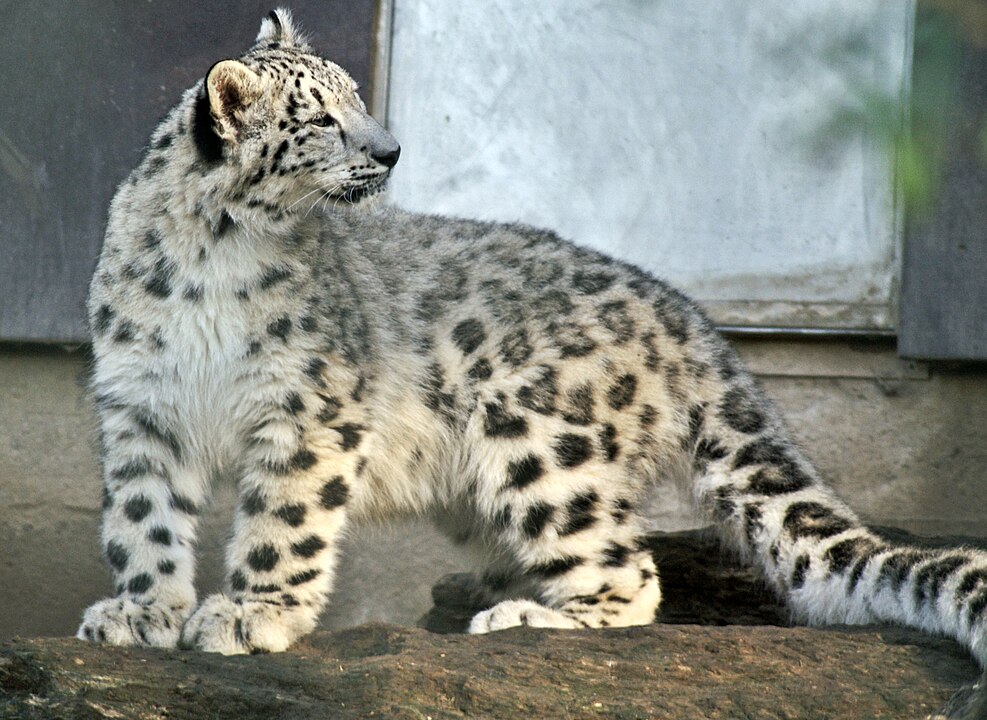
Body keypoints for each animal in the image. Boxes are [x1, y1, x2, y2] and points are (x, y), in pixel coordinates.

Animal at [79, 8, 987, 660]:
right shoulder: (140, 403)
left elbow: (284, 519)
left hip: (539, 439)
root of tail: (685, 314)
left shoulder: (309, 407)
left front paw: (250, 612)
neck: (214, 254)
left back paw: (528, 620)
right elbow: (143, 515)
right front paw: (140, 611)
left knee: (631, 572)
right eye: (323, 118)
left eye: (358, 101)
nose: (391, 148)